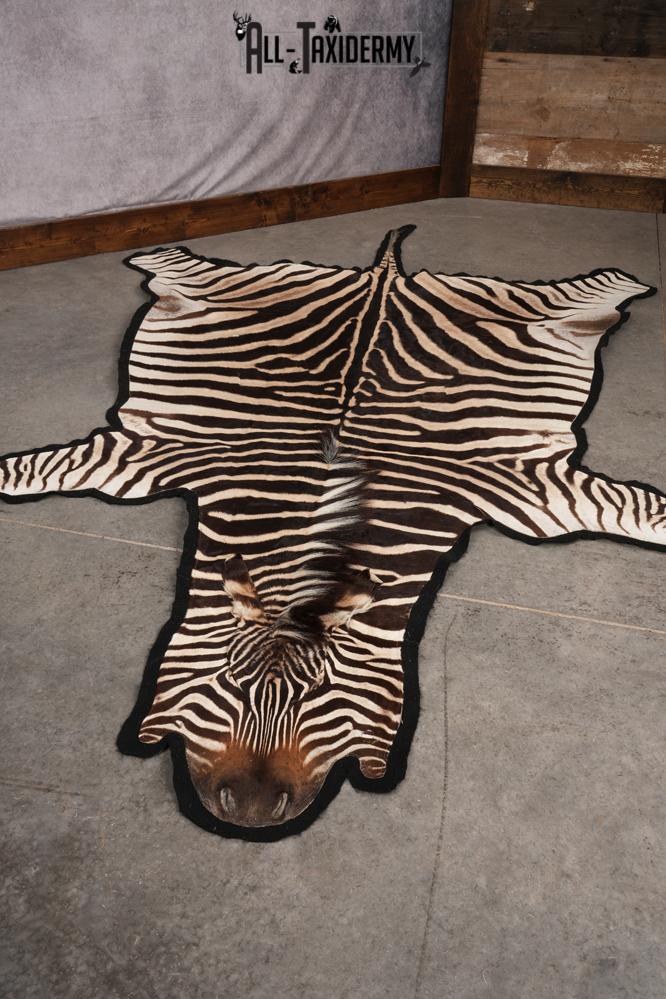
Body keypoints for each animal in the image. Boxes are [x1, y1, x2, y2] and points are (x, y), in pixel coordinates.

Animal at [1, 225, 664, 832]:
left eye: (322, 693)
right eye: (228, 682)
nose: (249, 813)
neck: (324, 501)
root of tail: (384, 275)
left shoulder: (531, 491)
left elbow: (639, 509)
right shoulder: (148, 455)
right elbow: (36, 468)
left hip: (540, 309)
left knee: (595, 292)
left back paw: (631, 282)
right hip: (228, 289)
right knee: (180, 269)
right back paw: (149, 251)